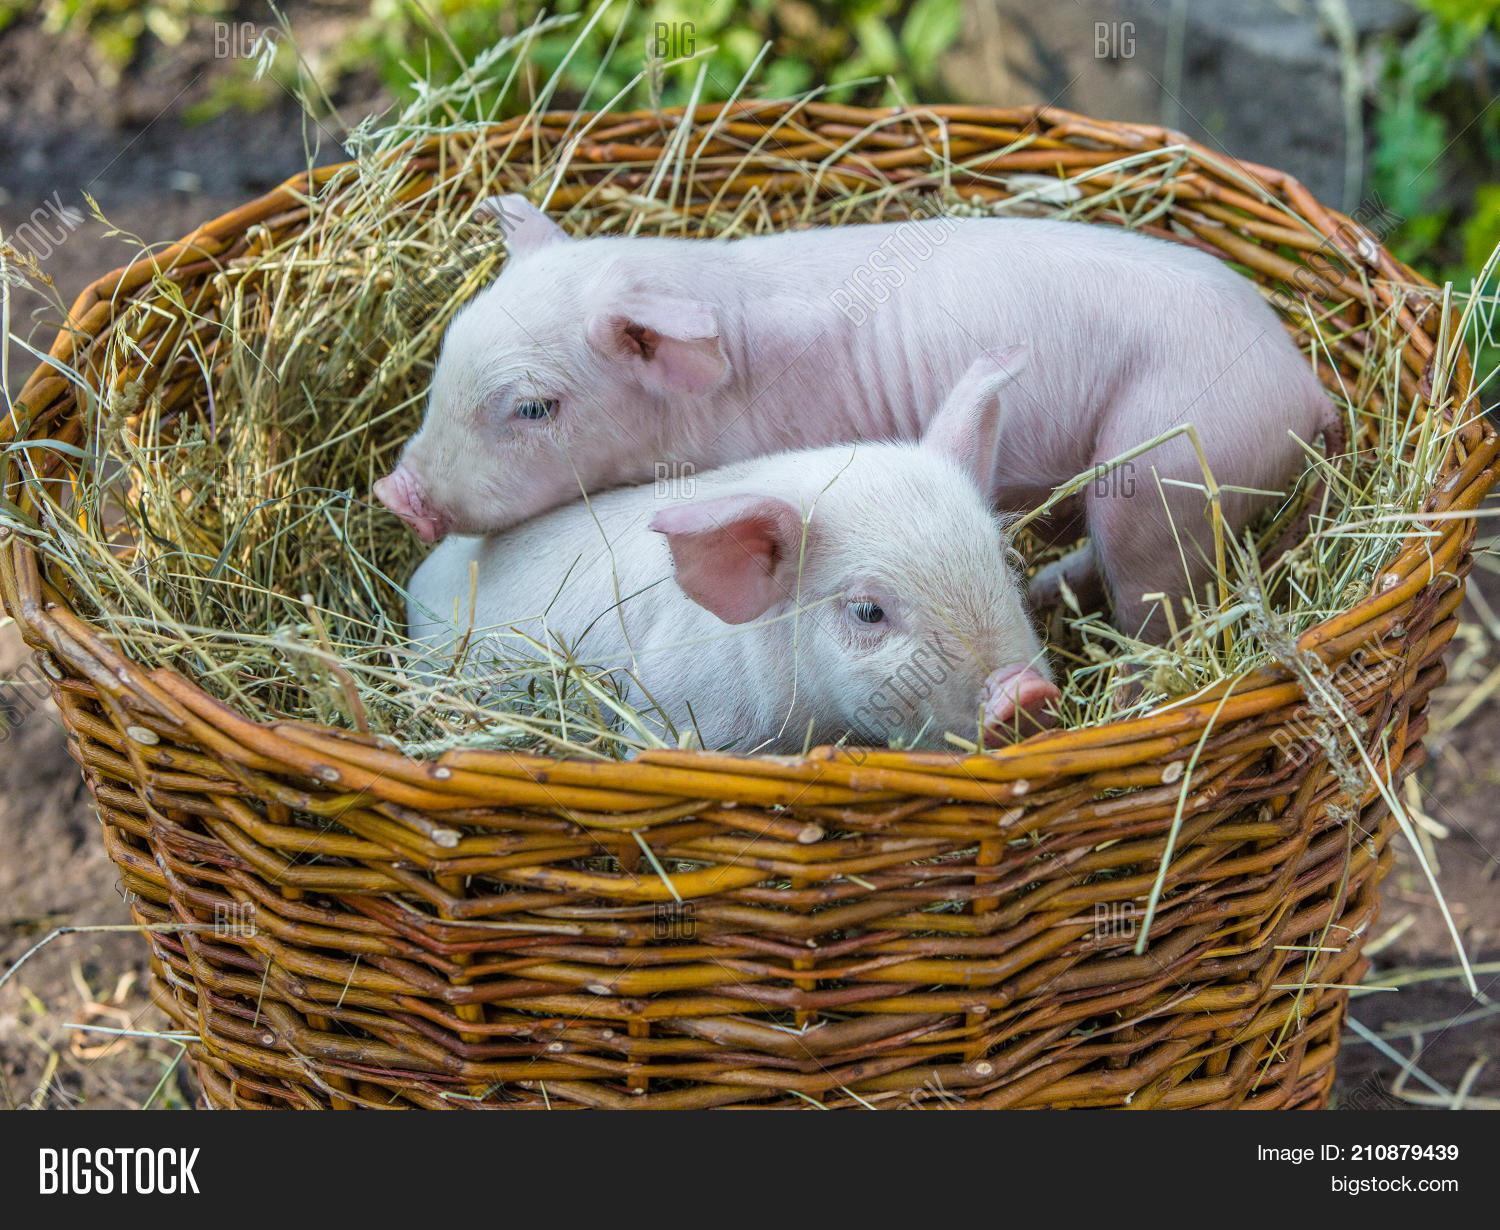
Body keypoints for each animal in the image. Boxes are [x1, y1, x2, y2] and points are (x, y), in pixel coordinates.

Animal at [375, 195, 1339, 641]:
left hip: (1165, 470)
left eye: (533, 406)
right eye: (446, 356)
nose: (396, 494)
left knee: (1155, 597)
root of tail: (1307, 385)